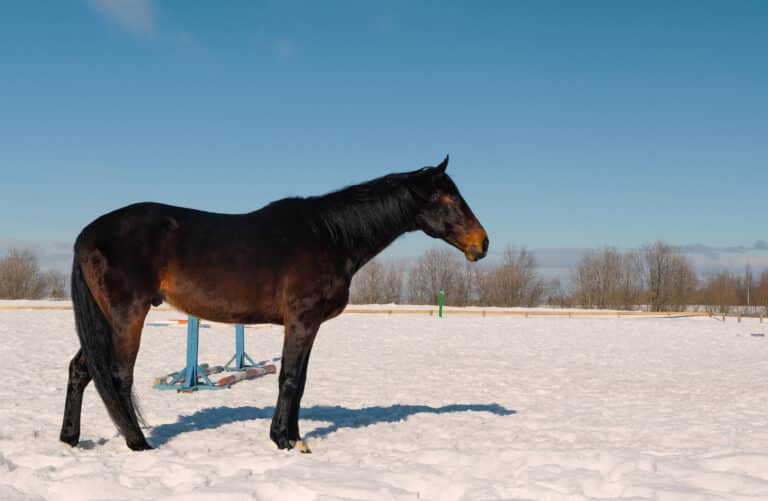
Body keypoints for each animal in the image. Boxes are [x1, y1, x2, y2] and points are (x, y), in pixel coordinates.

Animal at [60, 155, 486, 450]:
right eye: (447, 197)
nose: (481, 244)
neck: (330, 235)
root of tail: (88, 233)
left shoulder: (309, 325)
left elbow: (300, 381)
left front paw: (295, 438)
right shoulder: (301, 320)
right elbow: (290, 378)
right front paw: (281, 438)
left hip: (105, 319)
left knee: (82, 369)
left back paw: (70, 439)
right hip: (127, 316)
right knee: (117, 376)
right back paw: (139, 443)